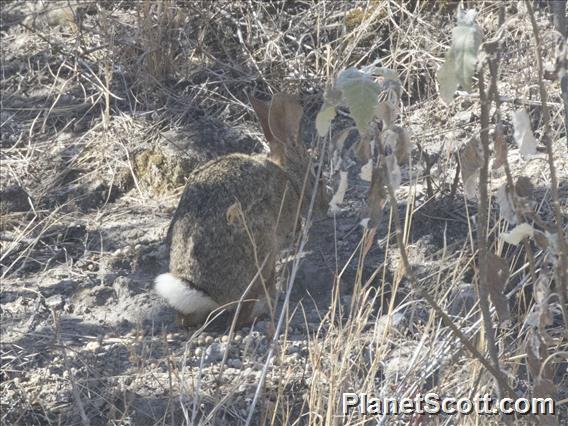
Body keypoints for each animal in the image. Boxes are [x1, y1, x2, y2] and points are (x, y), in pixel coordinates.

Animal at [154, 92, 328, 326]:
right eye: (318, 174)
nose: (325, 205)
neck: (289, 177)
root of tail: (206, 292)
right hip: (260, 246)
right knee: (242, 314)